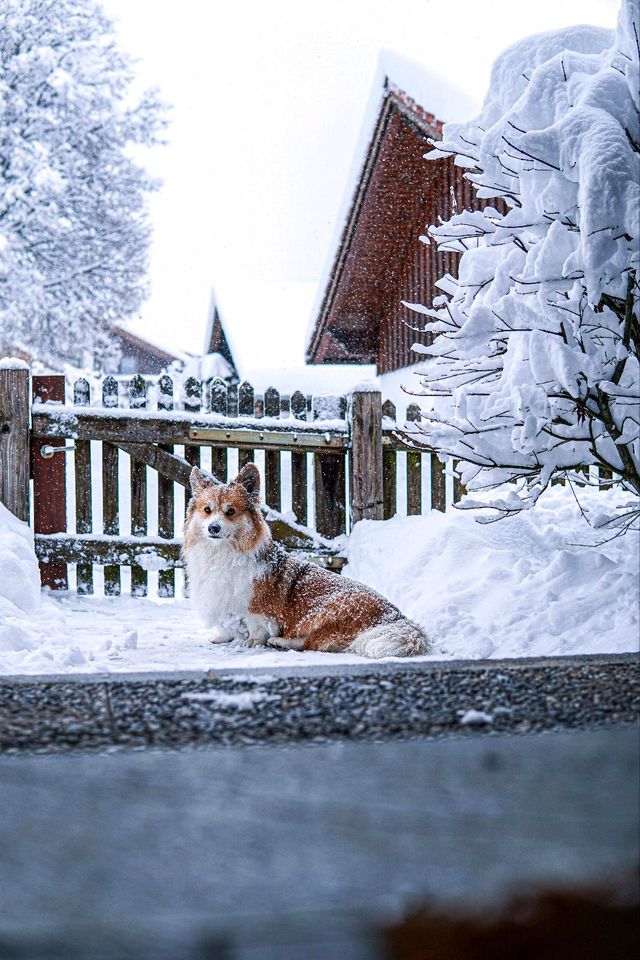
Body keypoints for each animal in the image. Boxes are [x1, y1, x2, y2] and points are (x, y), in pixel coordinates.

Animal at [181, 462, 430, 656]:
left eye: (230, 511)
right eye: (207, 510)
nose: (213, 528)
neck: (222, 552)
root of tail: (394, 617)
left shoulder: (257, 607)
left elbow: (256, 626)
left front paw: (252, 641)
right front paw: (222, 637)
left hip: (326, 612)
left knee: (312, 642)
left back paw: (279, 641)